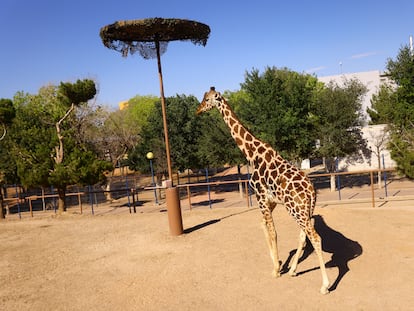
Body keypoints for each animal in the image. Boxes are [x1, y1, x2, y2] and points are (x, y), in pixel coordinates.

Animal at [196, 86, 330, 294]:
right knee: (303, 236)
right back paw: (293, 270)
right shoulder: (270, 200)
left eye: (208, 99)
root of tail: (311, 192)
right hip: (305, 210)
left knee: (314, 237)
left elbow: (273, 231)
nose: (198, 110)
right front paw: (279, 264)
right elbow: (263, 226)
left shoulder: (260, 196)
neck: (251, 153)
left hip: (296, 210)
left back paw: (325, 285)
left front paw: (276, 269)